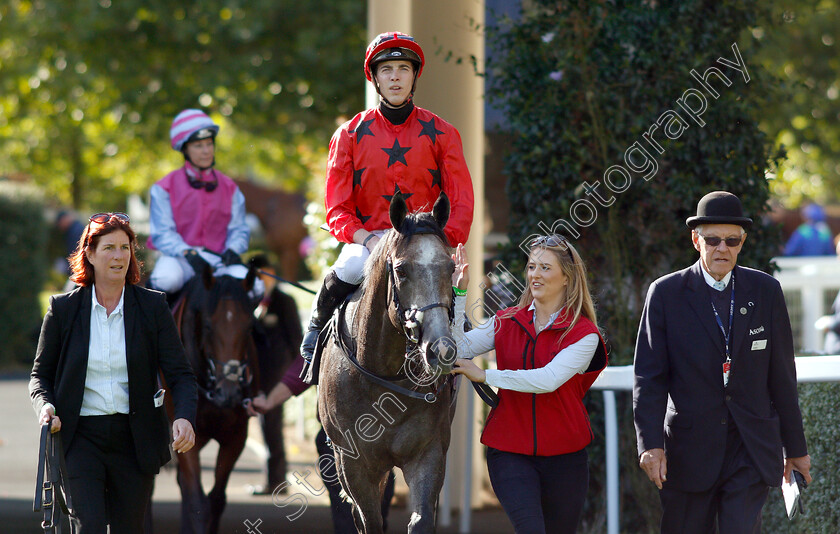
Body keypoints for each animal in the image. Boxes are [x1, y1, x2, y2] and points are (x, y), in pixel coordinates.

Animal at [174, 270, 260, 534]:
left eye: (249, 326)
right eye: (209, 325)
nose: (229, 393)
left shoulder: (236, 436)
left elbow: (217, 499)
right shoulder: (185, 434)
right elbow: (197, 502)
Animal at [316, 193, 460, 534]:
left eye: (450, 267)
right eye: (402, 270)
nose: (440, 349)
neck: (385, 376)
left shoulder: (429, 451)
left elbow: (421, 520)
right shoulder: (354, 463)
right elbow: (370, 520)